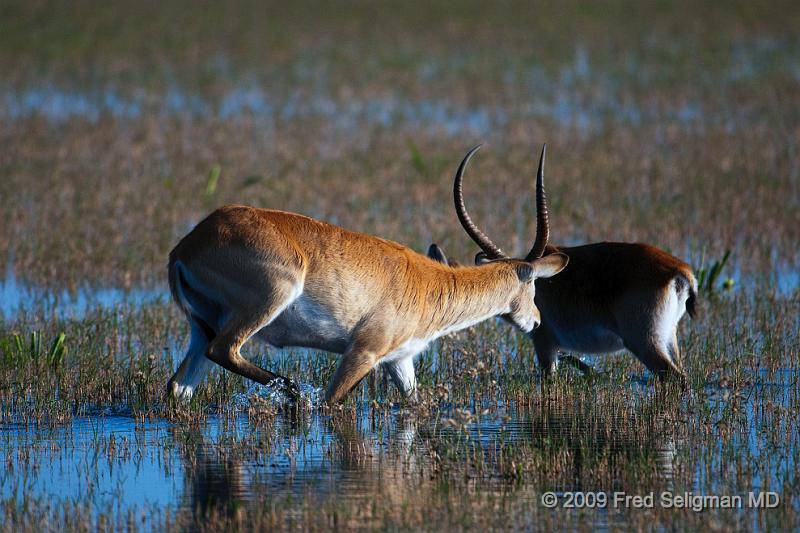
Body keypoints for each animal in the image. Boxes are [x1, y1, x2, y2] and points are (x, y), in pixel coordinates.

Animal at [164, 148, 568, 402]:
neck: (431, 283)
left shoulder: (399, 362)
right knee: (225, 351)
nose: (535, 320)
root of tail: (185, 247)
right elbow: (331, 404)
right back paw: (292, 392)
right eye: (533, 284)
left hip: (202, 328)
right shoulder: (362, 353)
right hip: (267, 301)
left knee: (178, 387)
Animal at [428, 143, 696, 380]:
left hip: (644, 342)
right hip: (668, 340)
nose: (534, 319)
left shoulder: (545, 344)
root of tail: (679, 270)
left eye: (531, 284)